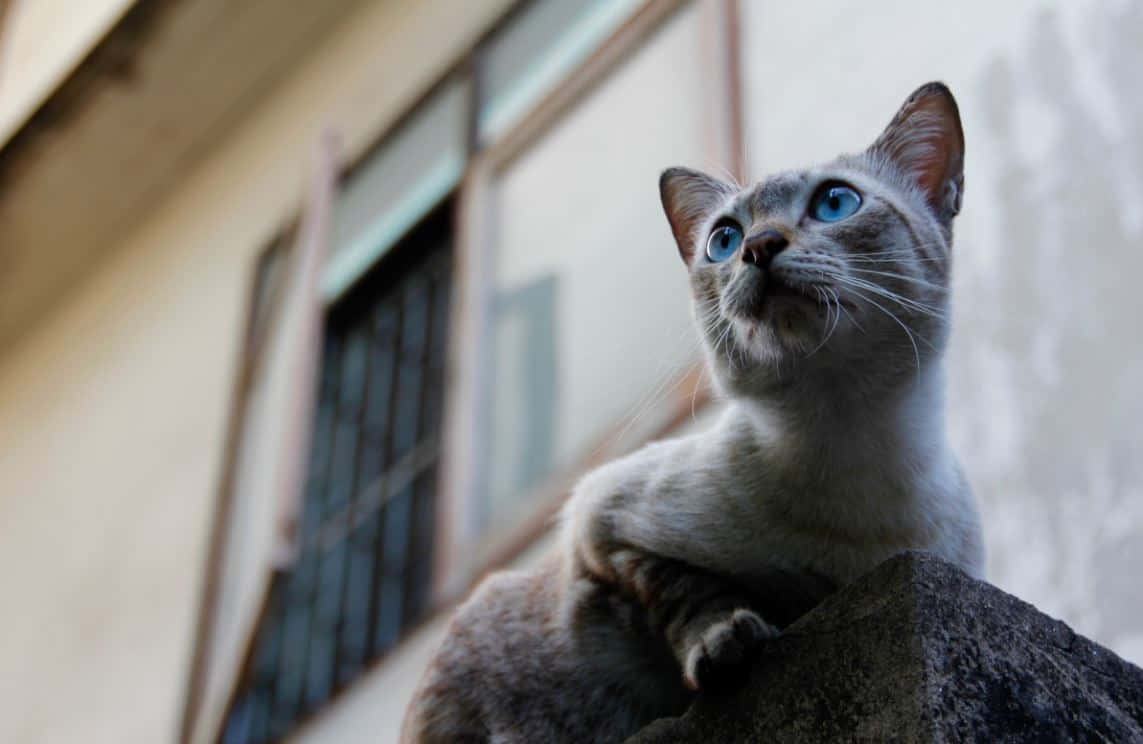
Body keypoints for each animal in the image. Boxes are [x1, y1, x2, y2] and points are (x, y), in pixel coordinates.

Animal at [400, 82, 982, 744]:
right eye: (723, 239)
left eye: (836, 202)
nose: (758, 247)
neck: (846, 443)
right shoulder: (603, 527)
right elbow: (688, 592)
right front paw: (726, 642)